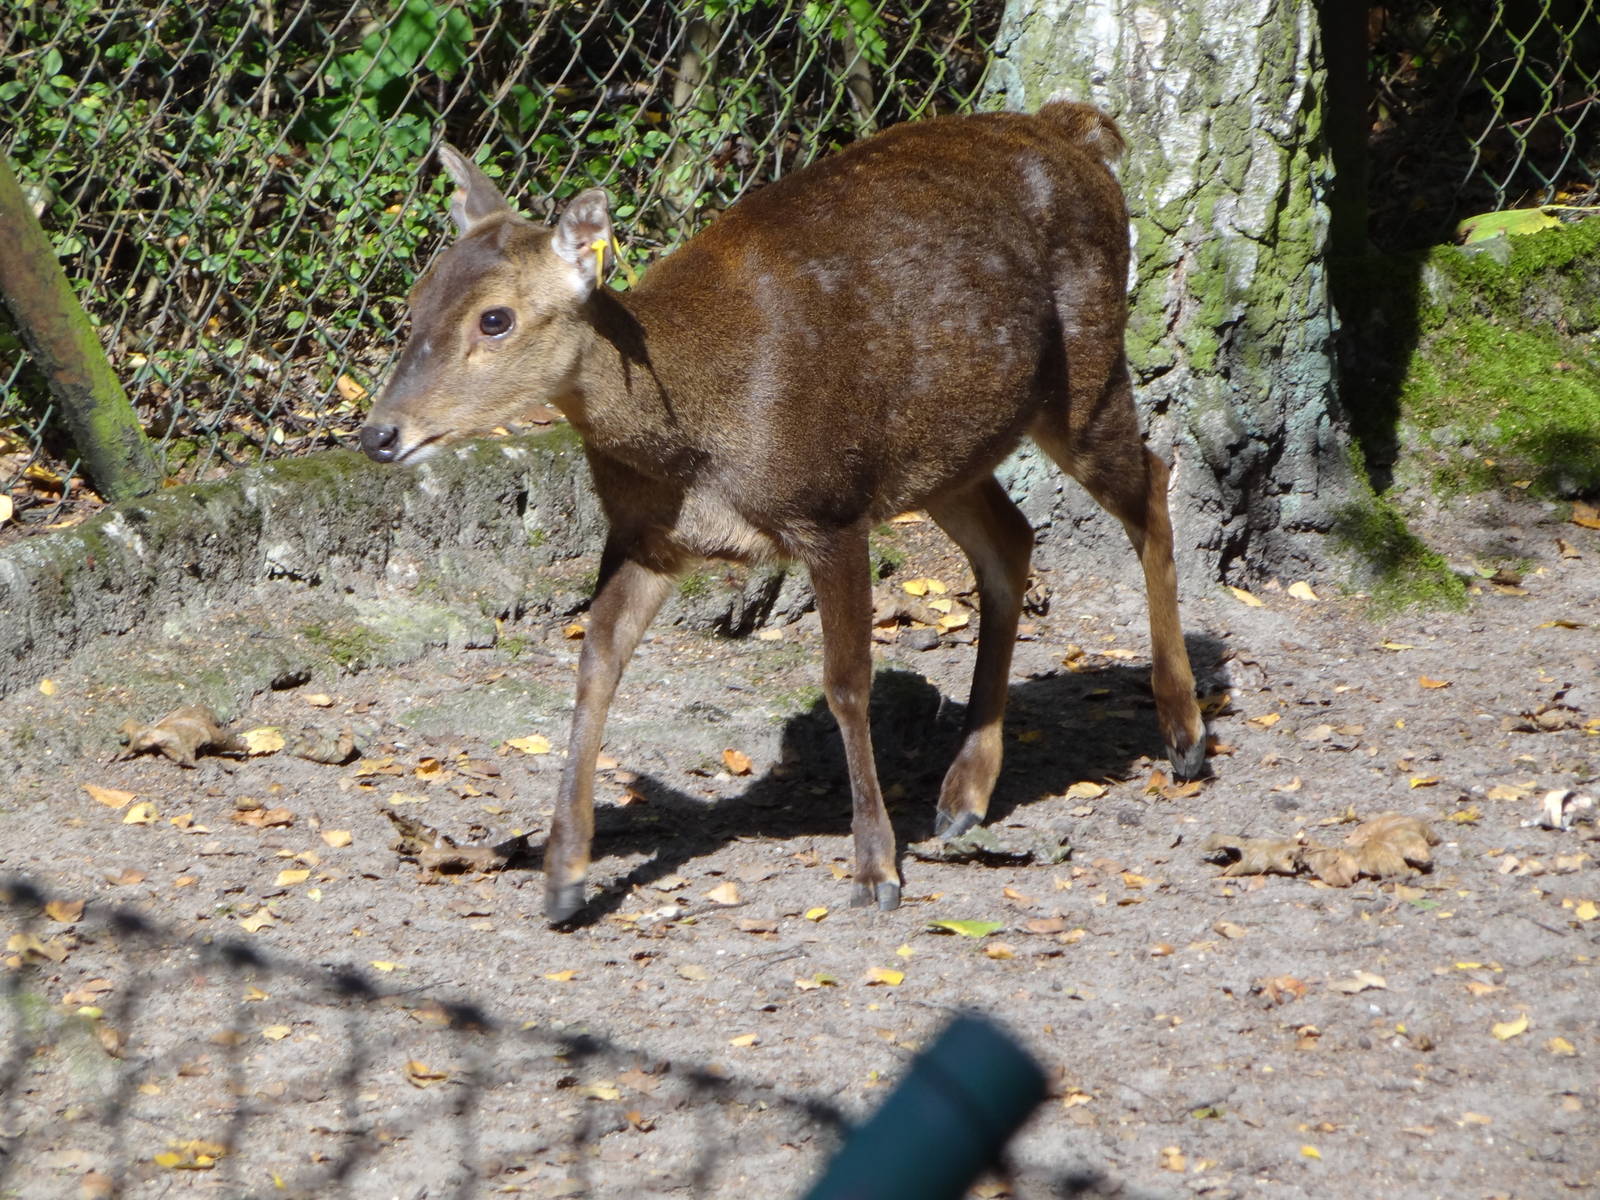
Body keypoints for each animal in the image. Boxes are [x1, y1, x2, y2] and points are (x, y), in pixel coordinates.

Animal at [358, 101, 1208, 924]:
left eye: (495, 318)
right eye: (416, 303)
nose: (378, 433)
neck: (692, 437)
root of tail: (1079, 129)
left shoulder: (828, 508)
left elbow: (846, 683)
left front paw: (875, 871)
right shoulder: (645, 535)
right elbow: (596, 662)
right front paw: (564, 879)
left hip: (1087, 373)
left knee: (1153, 489)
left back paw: (1184, 736)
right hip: (946, 450)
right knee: (1012, 540)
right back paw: (964, 794)